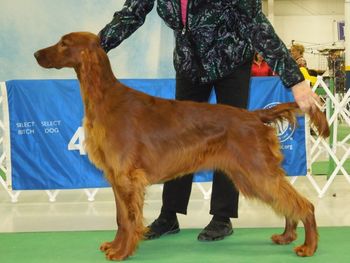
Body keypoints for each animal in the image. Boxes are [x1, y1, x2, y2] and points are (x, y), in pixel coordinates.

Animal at [34, 32, 330, 260]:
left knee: (304, 204)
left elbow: (129, 220)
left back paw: (309, 246)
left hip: (257, 172)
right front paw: (115, 246)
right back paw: (287, 236)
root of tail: (254, 115)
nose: (36, 54)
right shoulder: (117, 179)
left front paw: (122, 252)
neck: (105, 98)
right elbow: (120, 218)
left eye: (63, 43)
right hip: (251, 175)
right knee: (287, 202)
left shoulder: (127, 178)